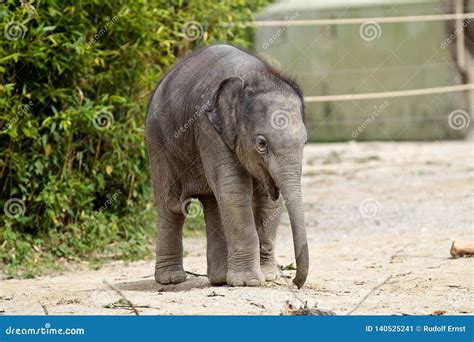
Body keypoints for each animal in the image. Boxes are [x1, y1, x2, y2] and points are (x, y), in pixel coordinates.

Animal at [146, 43, 310, 288]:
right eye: (261, 144)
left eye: (305, 142)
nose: (296, 283)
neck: (255, 76)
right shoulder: (207, 126)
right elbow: (234, 188)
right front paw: (248, 283)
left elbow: (267, 199)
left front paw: (269, 276)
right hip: (157, 141)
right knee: (172, 205)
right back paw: (171, 280)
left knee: (213, 202)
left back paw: (219, 279)